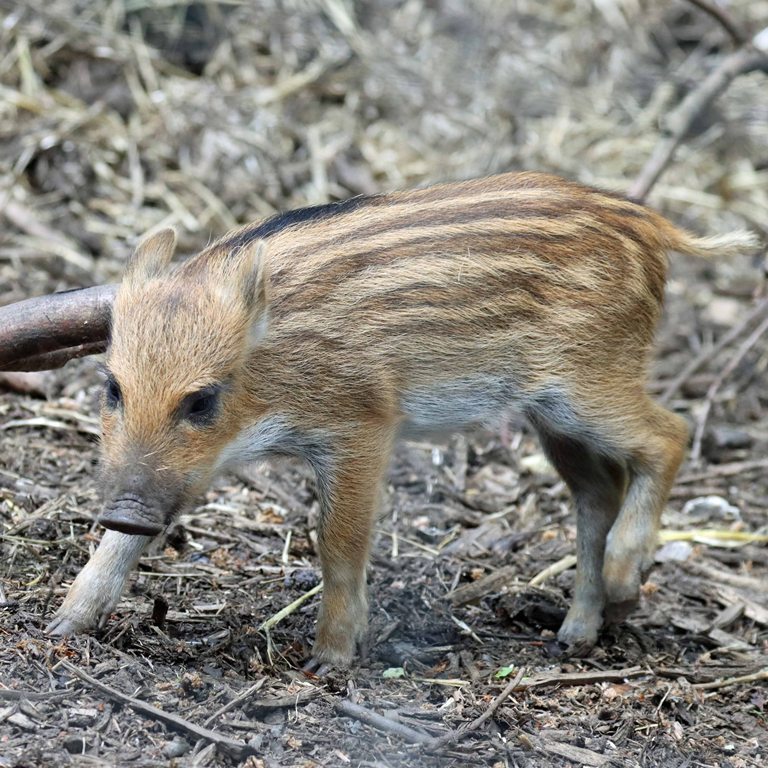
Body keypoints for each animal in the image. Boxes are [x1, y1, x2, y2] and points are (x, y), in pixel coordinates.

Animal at [45, 172, 756, 669]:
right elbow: (134, 532)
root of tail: (652, 223)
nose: (123, 508)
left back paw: (623, 583)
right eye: (111, 388)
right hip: (552, 415)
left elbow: (337, 541)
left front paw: (329, 660)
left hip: (589, 383)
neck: (270, 362)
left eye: (201, 401)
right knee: (597, 493)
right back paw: (574, 636)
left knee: (669, 436)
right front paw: (62, 626)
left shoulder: (362, 424)